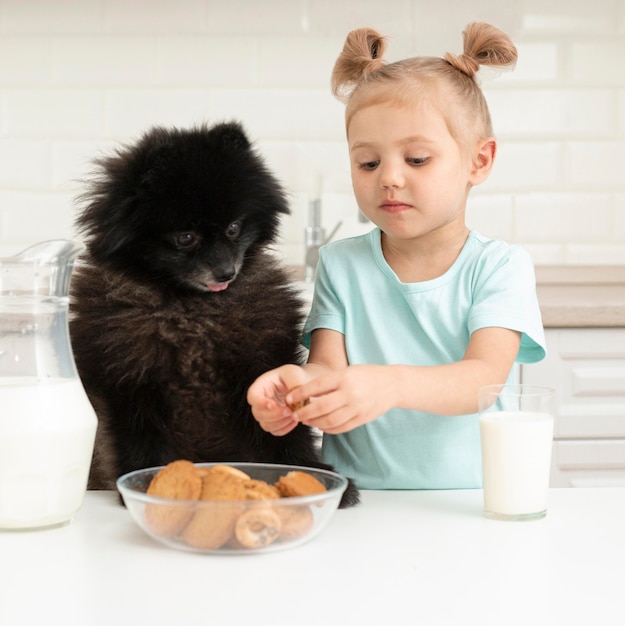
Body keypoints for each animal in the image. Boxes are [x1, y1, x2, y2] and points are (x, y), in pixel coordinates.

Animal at [69, 122, 356, 508]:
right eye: (185, 237)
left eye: (234, 228)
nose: (226, 271)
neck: (192, 313)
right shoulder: (128, 382)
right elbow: (140, 442)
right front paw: (145, 486)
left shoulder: (260, 363)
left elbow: (286, 436)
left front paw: (314, 475)